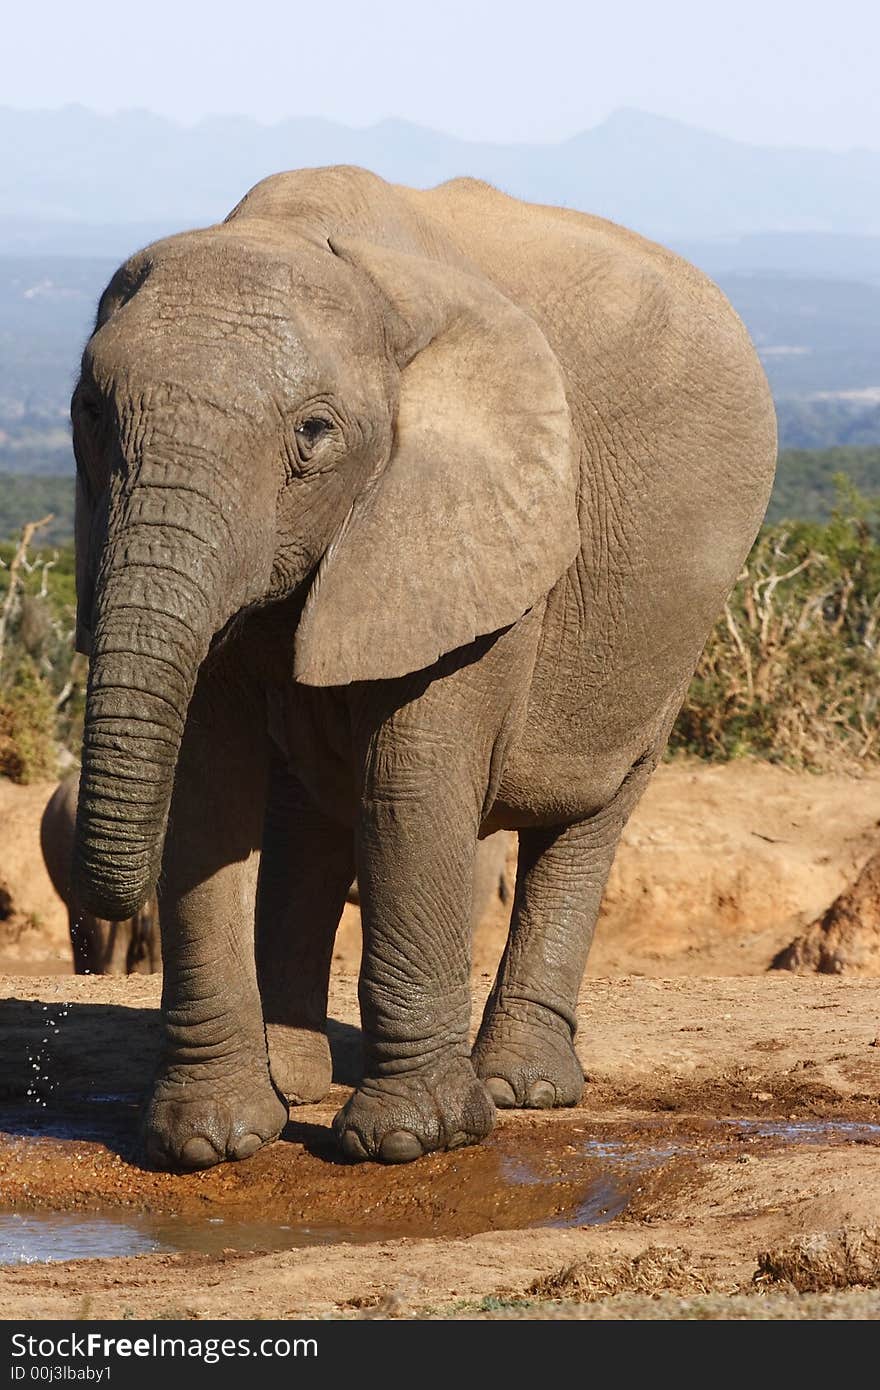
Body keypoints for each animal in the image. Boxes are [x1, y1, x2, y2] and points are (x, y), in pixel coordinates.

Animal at [70, 170, 772, 1173]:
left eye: (314, 433)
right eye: (90, 414)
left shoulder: (474, 531)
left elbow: (412, 784)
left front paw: (409, 1142)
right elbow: (210, 785)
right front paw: (208, 1142)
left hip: (679, 621)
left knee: (590, 814)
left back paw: (522, 1090)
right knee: (308, 816)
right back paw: (299, 1077)